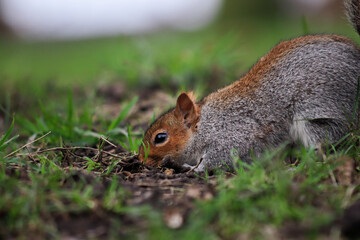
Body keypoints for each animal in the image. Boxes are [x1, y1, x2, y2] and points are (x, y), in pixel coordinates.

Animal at [138, 0, 360, 172]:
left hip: (320, 114)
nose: (140, 159)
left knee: (327, 144)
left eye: (160, 138)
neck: (204, 124)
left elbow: (220, 157)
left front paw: (195, 168)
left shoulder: (232, 134)